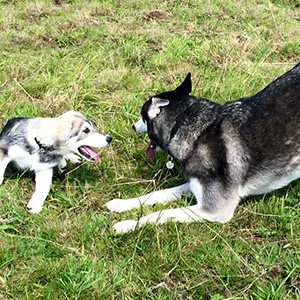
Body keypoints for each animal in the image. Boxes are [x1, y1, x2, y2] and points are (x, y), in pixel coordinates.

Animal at [106, 62, 300, 233]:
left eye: (142, 116)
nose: (133, 126)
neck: (188, 126)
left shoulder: (214, 209)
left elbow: (161, 214)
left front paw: (128, 224)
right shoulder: (194, 185)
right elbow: (157, 194)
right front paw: (121, 203)